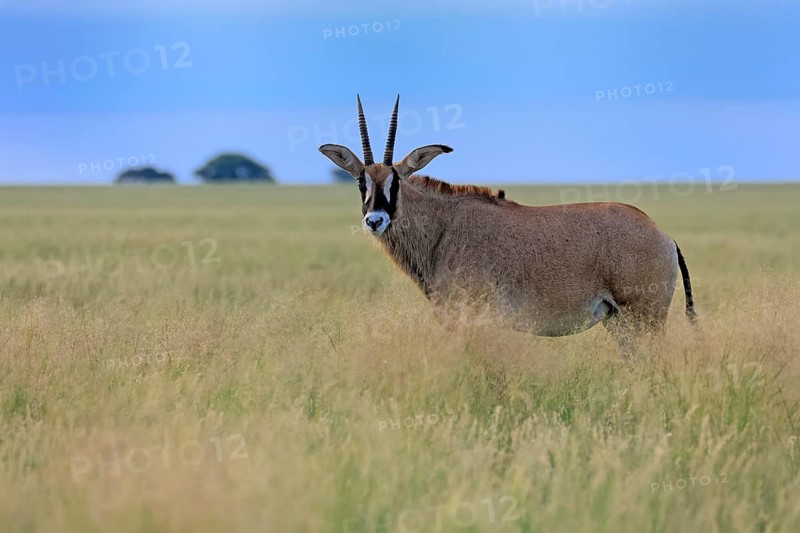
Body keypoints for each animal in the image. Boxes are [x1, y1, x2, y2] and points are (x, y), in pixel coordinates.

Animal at [319, 95, 696, 354]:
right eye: (361, 182)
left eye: (395, 181)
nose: (375, 220)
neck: (443, 228)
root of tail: (664, 236)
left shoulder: (474, 319)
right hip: (619, 321)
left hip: (645, 317)